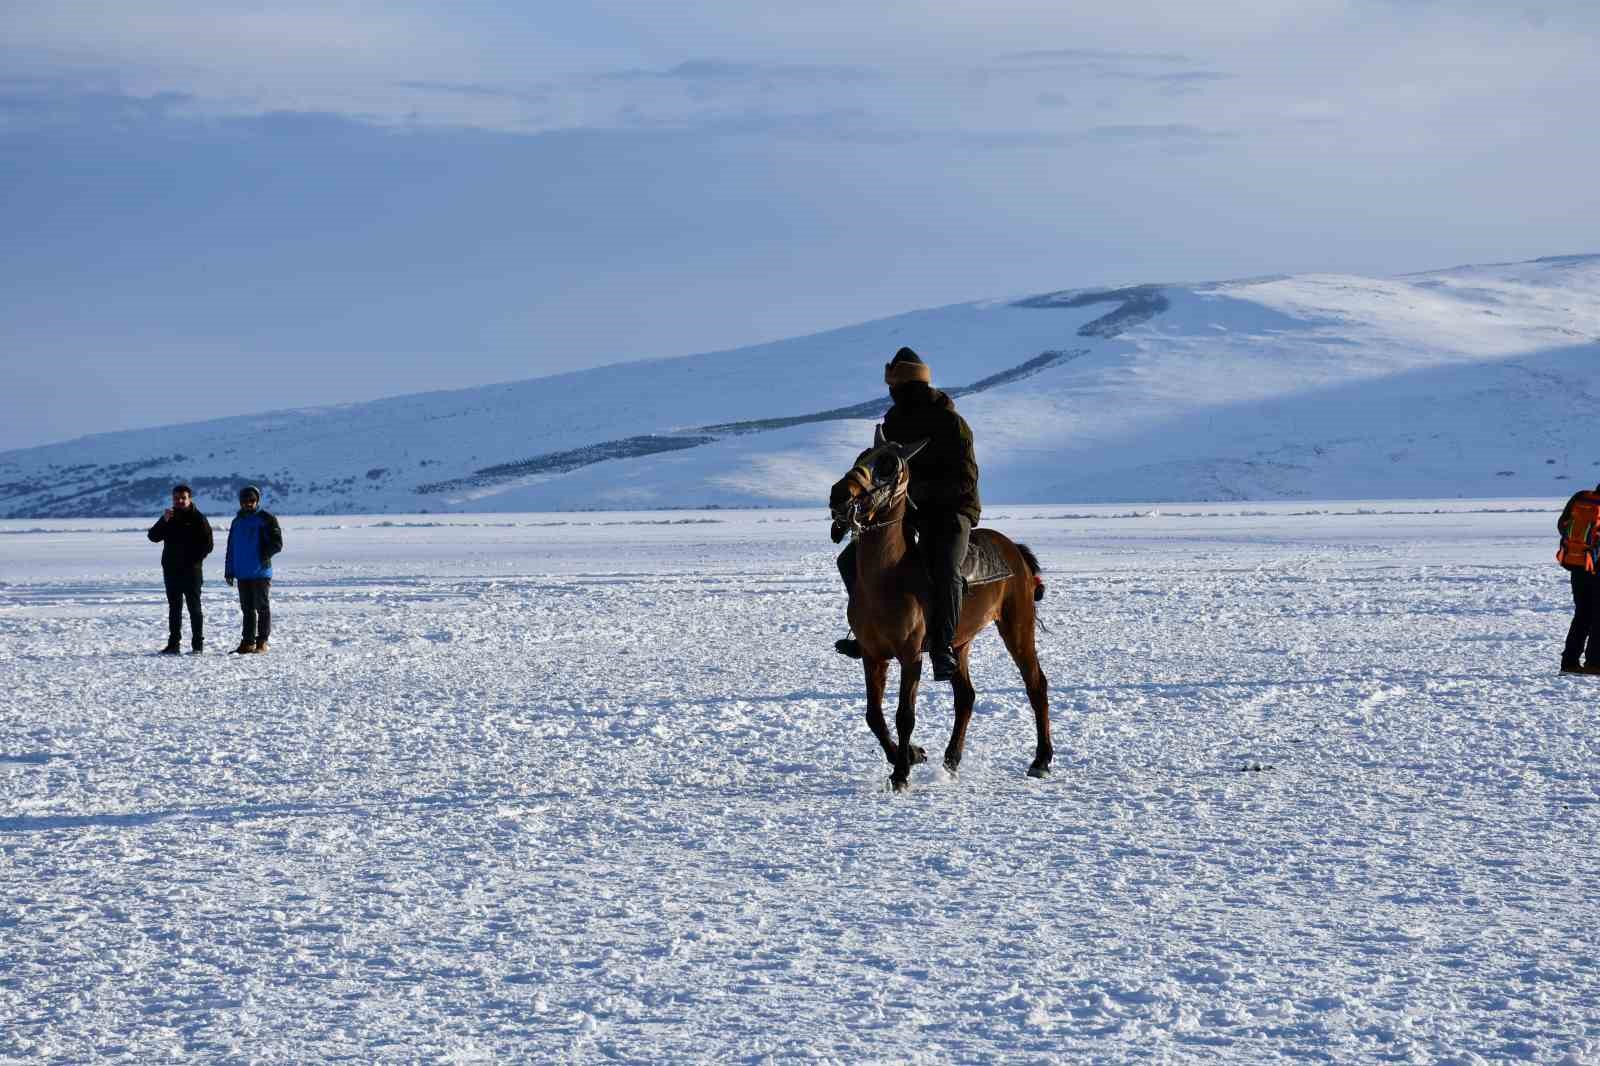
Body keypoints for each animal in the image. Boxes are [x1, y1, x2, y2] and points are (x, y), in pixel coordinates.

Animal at [832, 425, 1056, 787]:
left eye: (888, 467)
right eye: (861, 457)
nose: (839, 494)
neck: (887, 578)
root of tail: (1016, 552)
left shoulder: (910, 656)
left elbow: (904, 716)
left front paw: (901, 773)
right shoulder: (872, 654)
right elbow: (874, 715)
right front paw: (910, 755)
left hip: (1017, 626)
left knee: (1036, 685)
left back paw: (1041, 760)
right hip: (958, 643)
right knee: (965, 696)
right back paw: (951, 759)